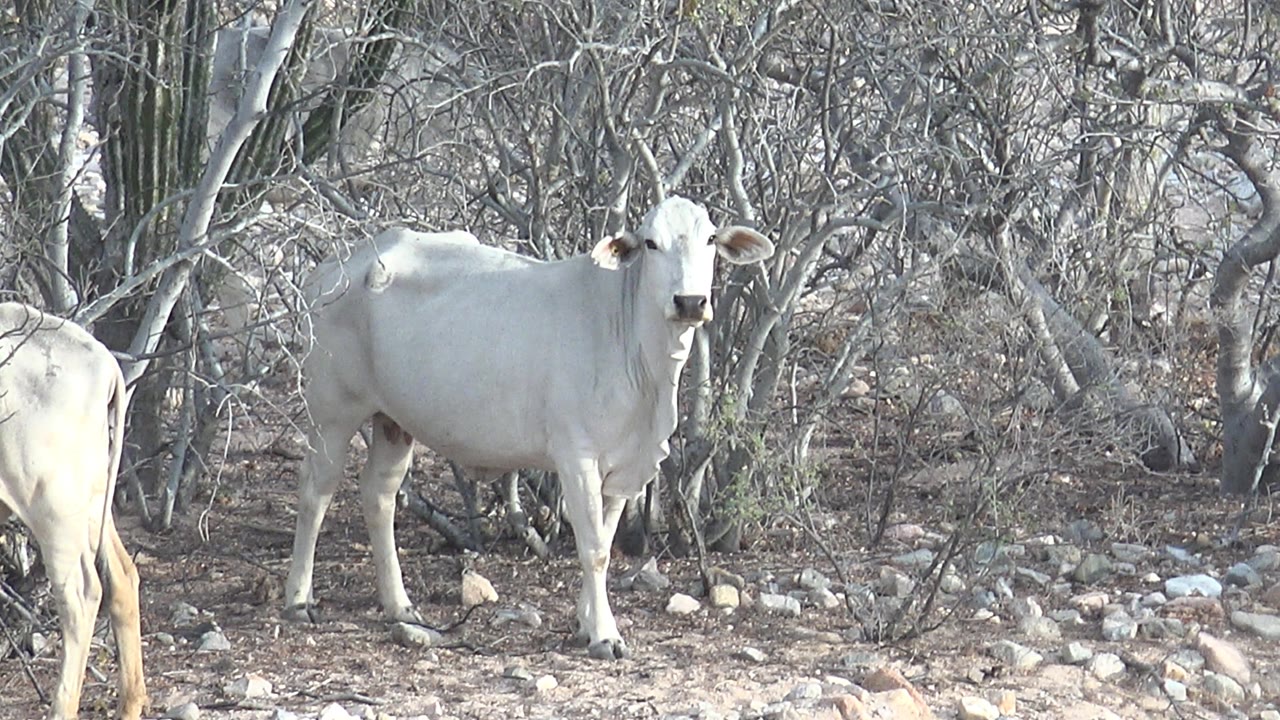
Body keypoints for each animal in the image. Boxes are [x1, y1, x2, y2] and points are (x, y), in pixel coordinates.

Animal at [0, 303, 146, 720]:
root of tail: (103, 361)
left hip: (54, 507)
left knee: (82, 596)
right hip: (92, 500)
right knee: (122, 577)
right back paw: (130, 703)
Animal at [283, 196, 774, 659]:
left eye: (710, 239)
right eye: (652, 243)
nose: (690, 302)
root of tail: (336, 265)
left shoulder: (622, 464)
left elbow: (605, 537)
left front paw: (585, 623)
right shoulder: (576, 456)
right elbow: (593, 548)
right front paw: (605, 635)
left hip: (393, 420)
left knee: (379, 494)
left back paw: (399, 605)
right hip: (332, 409)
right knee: (316, 490)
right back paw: (299, 600)